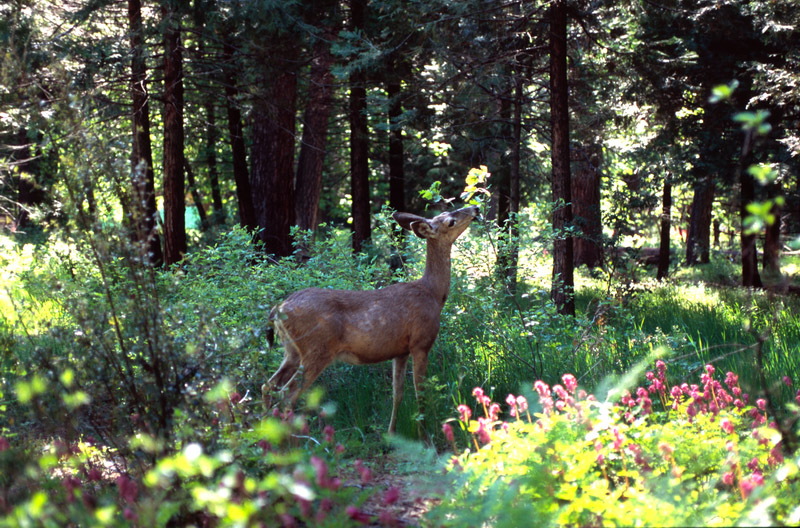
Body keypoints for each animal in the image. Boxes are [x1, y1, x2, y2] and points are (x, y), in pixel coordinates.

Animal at [261, 205, 480, 433]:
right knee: (287, 394)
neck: (434, 294)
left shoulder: (400, 351)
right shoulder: (421, 342)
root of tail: (278, 309)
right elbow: (420, 394)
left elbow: (398, 393)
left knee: (268, 386)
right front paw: (425, 436)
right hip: (316, 350)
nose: (475, 208)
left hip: (292, 351)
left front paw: (391, 433)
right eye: (450, 221)